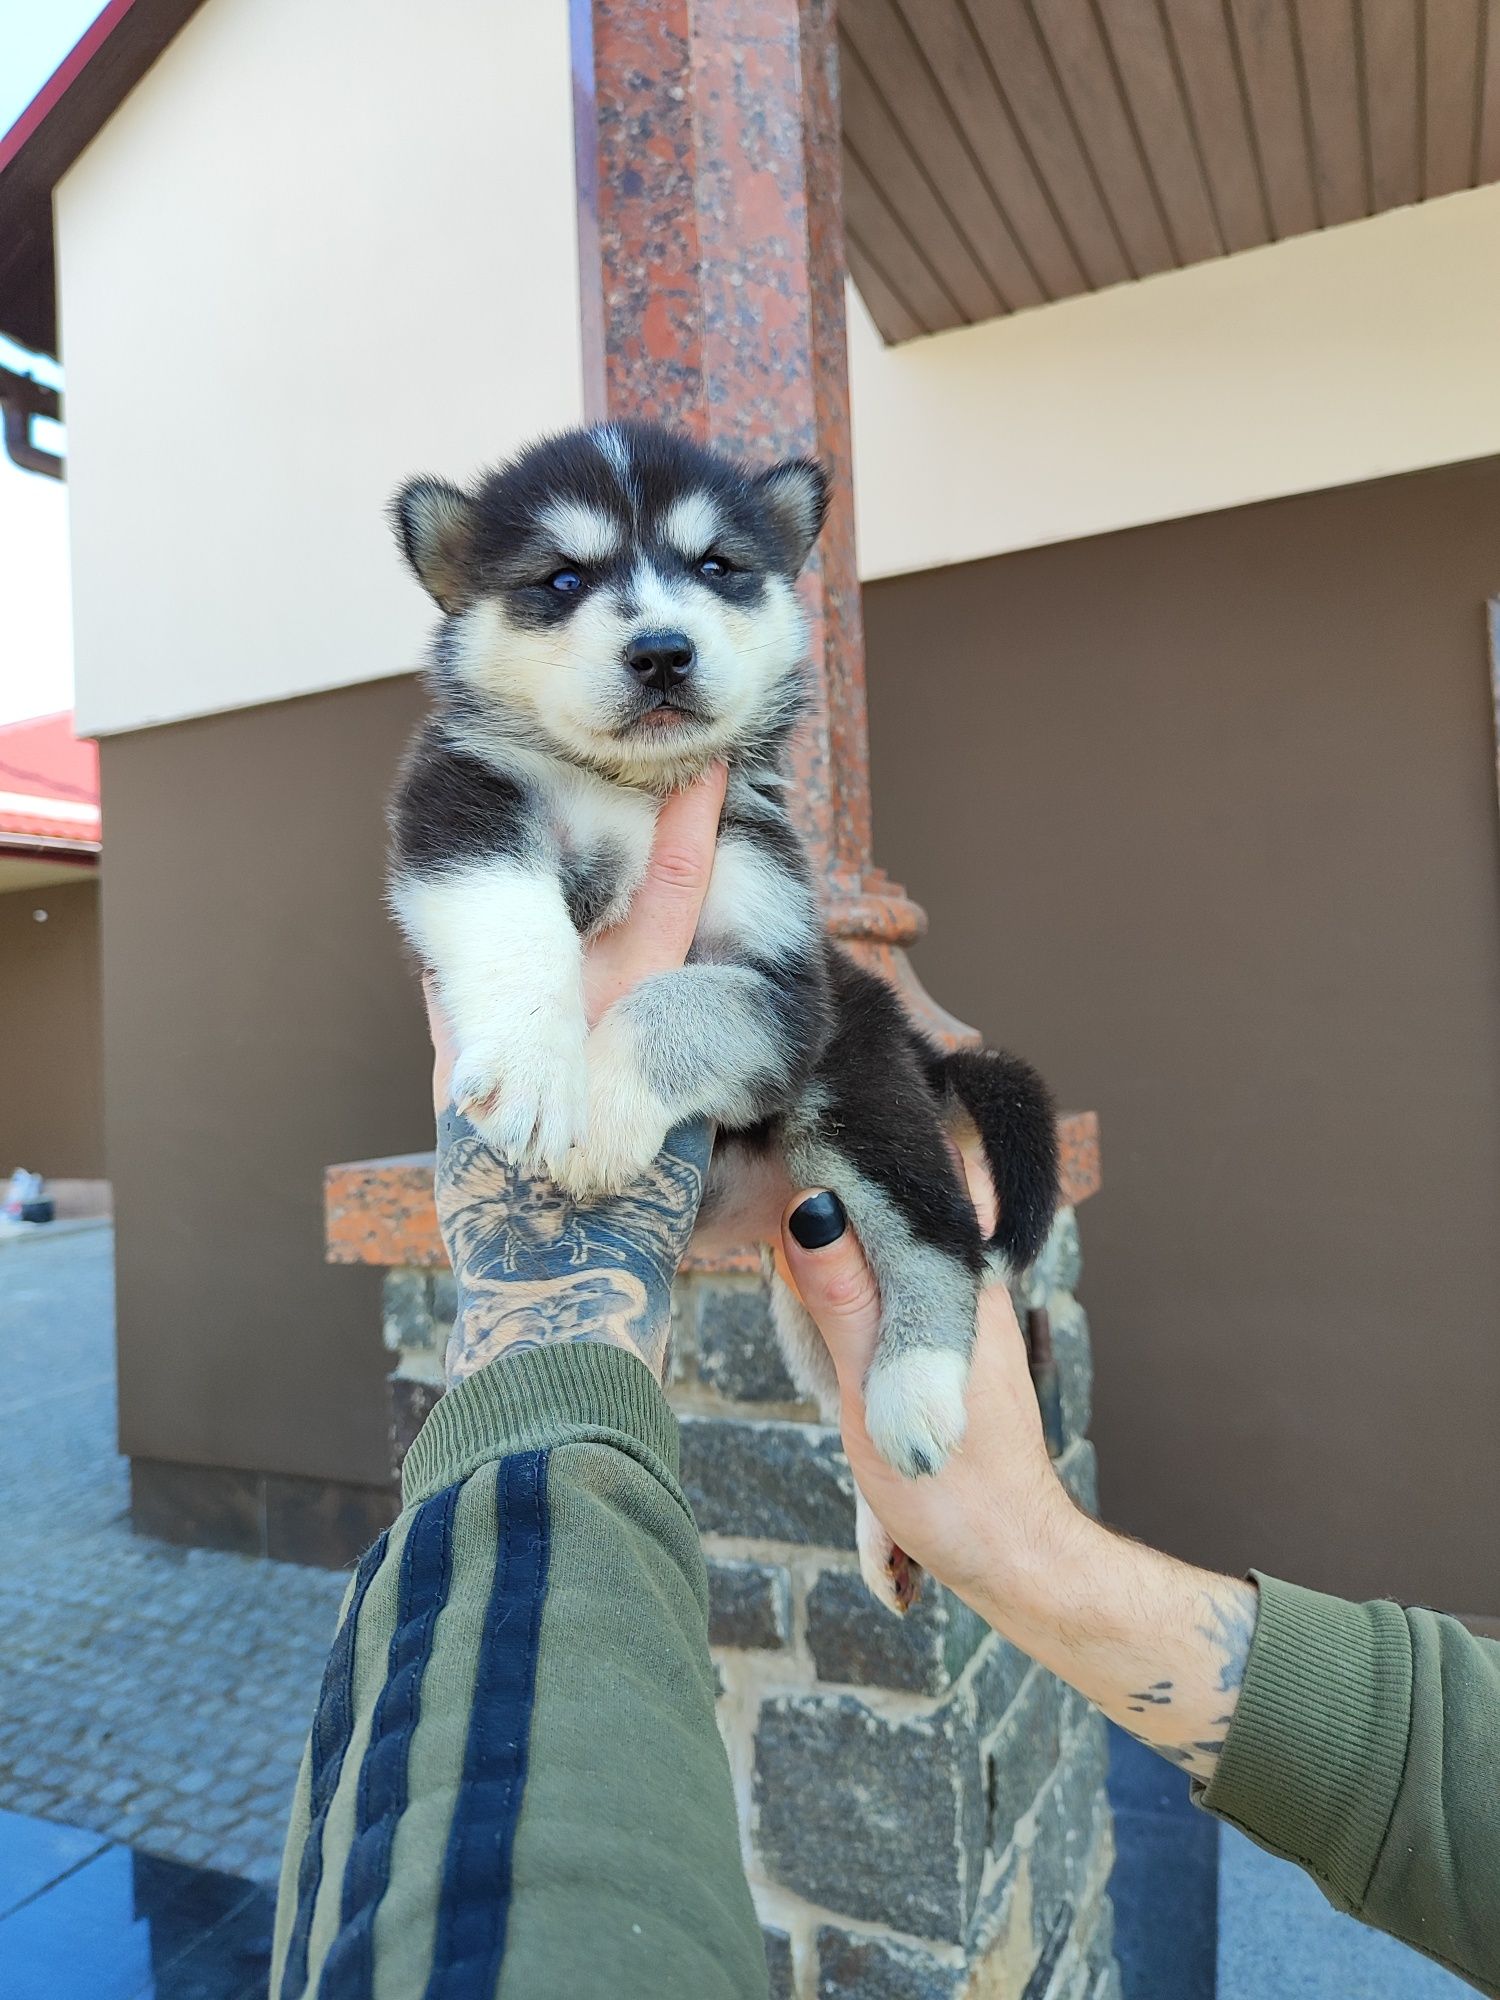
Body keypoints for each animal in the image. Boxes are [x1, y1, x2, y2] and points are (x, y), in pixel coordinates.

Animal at [394, 422, 1064, 1608]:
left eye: (717, 567)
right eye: (561, 580)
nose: (662, 650)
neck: (634, 788)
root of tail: (912, 1038)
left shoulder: (785, 986)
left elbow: (677, 999)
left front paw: (603, 1102)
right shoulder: (459, 806)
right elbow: (510, 912)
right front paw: (535, 1063)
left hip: (858, 1099)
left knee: (944, 1248)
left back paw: (919, 1391)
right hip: (805, 1257)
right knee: (836, 1379)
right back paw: (886, 1535)